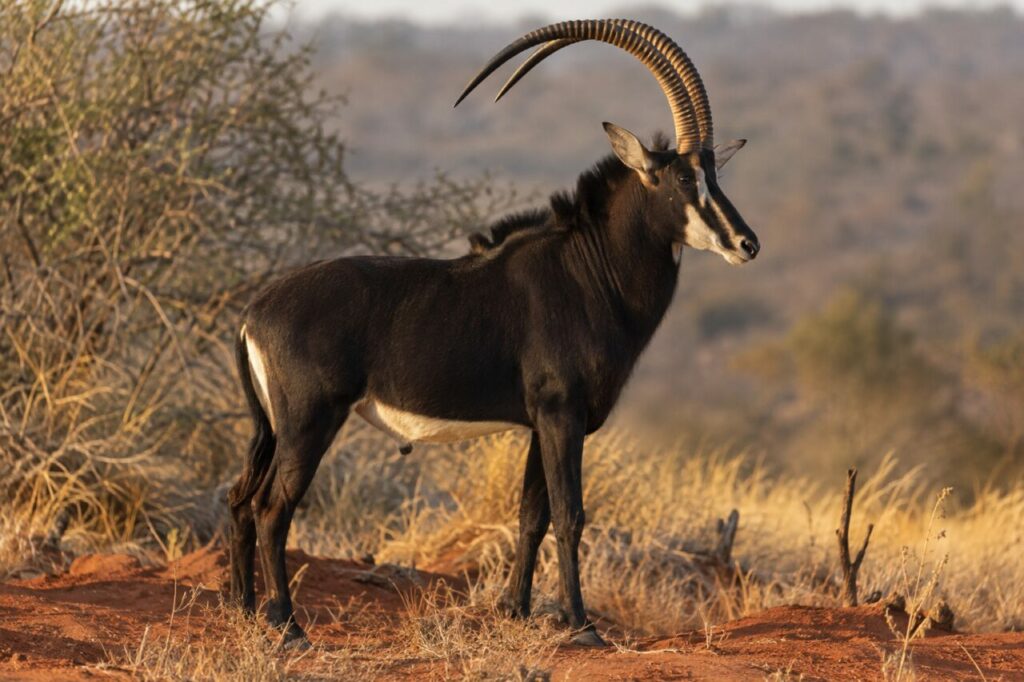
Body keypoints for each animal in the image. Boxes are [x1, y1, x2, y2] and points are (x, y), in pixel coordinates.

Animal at [228, 18, 760, 648]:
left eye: (715, 174)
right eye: (679, 178)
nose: (746, 243)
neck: (589, 269)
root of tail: (254, 312)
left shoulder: (540, 421)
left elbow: (532, 516)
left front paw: (517, 611)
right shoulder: (562, 414)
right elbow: (570, 514)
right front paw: (582, 626)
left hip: (271, 428)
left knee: (240, 499)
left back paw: (245, 610)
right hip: (310, 422)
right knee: (272, 508)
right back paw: (287, 625)